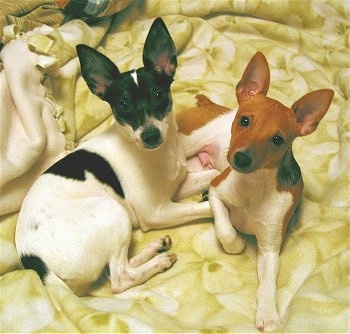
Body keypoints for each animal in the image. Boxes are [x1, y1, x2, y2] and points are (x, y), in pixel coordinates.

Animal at [179, 52, 332, 332]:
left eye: (277, 140)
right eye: (245, 121)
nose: (241, 158)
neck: (253, 188)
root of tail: (216, 107)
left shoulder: (270, 249)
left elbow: (269, 283)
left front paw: (268, 313)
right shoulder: (217, 191)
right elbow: (226, 229)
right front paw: (236, 243)